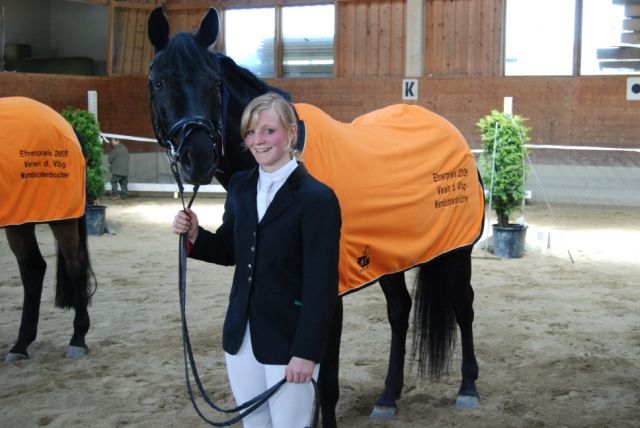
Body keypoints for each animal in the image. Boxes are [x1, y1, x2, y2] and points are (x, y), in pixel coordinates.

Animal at [1, 96, 96, 363]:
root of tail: (67, 125)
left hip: (61, 218)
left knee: (75, 265)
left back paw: (77, 339)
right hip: (19, 219)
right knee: (33, 267)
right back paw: (20, 345)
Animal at [147, 7, 483, 426]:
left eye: (214, 82)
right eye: (158, 82)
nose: (198, 156)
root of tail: (449, 131)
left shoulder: (326, 298)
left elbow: (326, 386)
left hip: (457, 252)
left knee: (463, 306)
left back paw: (468, 388)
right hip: (389, 258)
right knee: (399, 311)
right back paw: (388, 395)